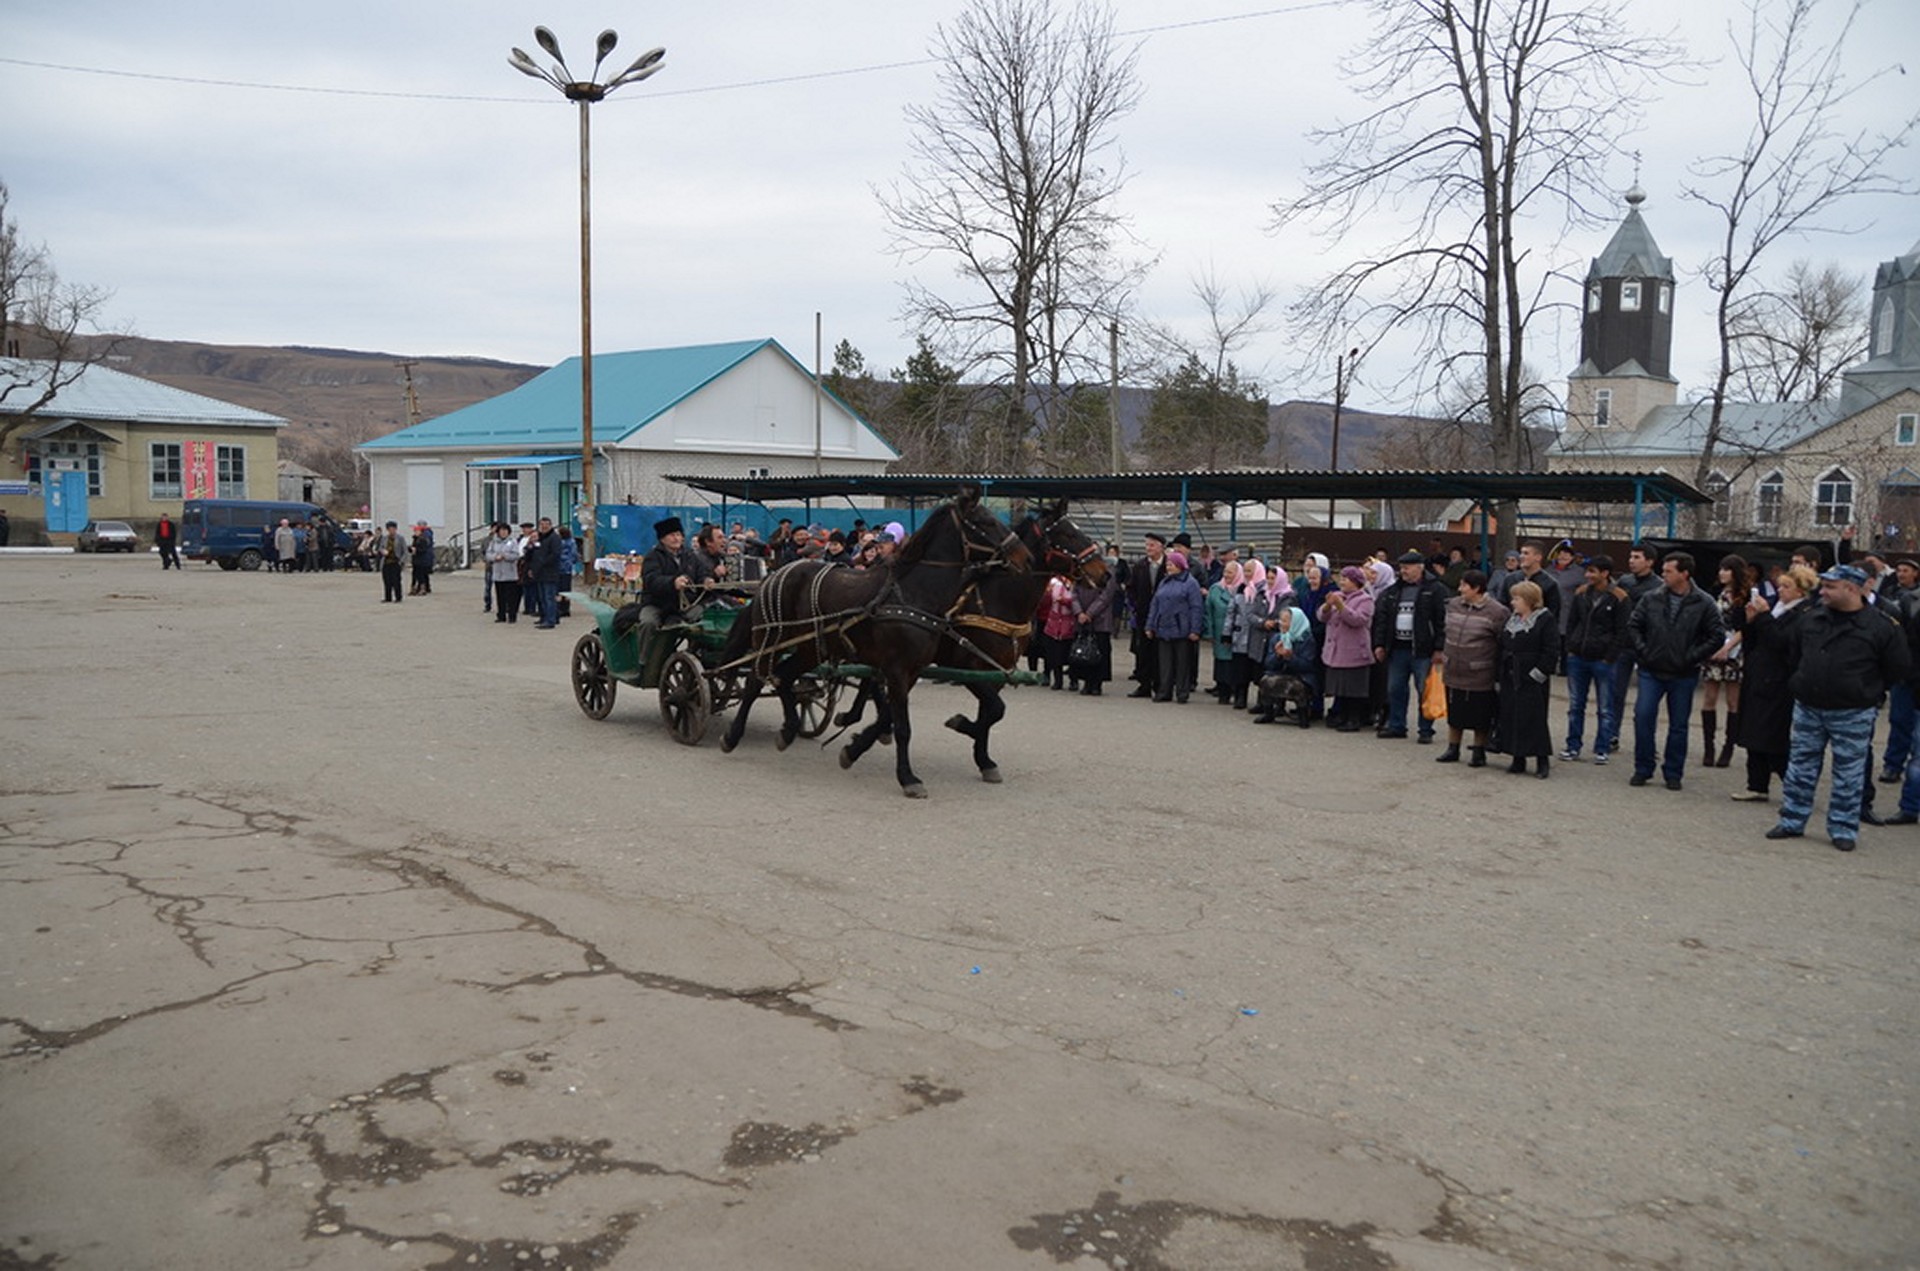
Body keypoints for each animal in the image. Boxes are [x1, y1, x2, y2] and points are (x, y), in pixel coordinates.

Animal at [714, 487, 1029, 798]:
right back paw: (733, 735)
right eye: (986, 522)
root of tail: (773, 575)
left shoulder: (913, 670)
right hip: (770, 639)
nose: (1024, 557)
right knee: (755, 681)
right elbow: (902, 727)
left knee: (783, 677)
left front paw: (853, 749)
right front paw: (907, 777)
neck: (911, 594)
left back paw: (788, 729)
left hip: (810, 649)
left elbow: (890, 716)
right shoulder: (898, 670)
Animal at [840, 499, 1113, 783]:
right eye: (1068, 534)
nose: (1105, 574)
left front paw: (983, 758)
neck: (1001, 600)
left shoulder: (996, 671)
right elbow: (995, 709)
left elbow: (991, 713)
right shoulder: (969, 667)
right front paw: (963, 725)